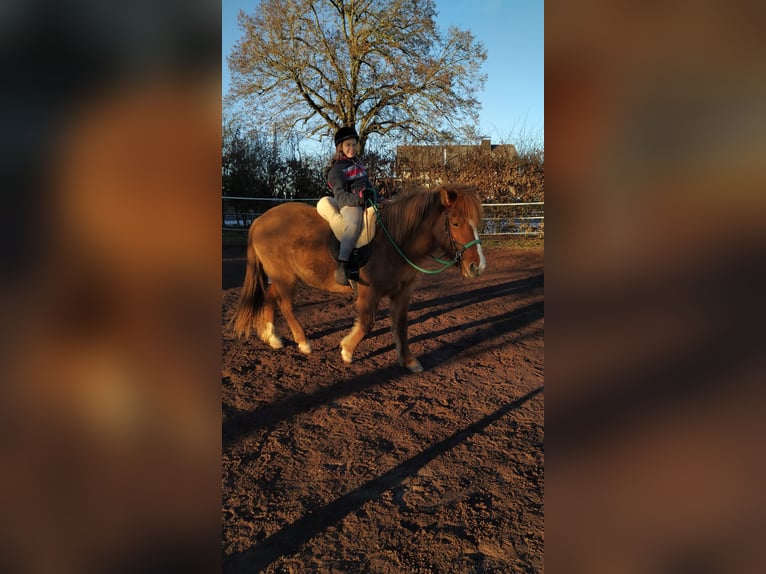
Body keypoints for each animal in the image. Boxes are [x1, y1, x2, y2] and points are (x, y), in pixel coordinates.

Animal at [228, 184, 486, 372]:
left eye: (476, 223)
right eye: (455, 223)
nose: (478, 266)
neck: (395, 241)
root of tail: (259, 221)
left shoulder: (402, 293)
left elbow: (401, 325)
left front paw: (408, 361)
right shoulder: (369, 292)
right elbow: (366, 323)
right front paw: (346, 350)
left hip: (283, 276)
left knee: (269, 297)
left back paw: (272, 337)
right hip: (285, 276)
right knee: (285, 304)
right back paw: (303, 342)